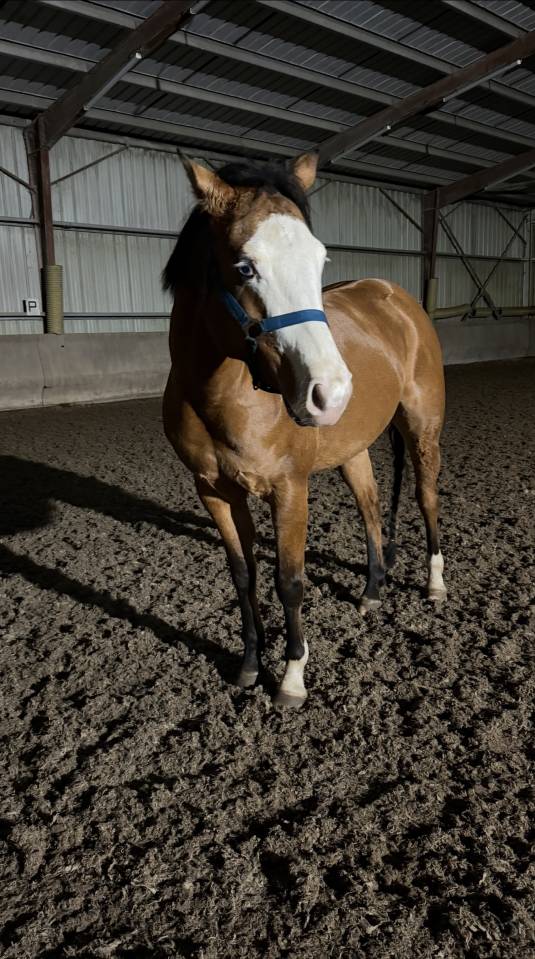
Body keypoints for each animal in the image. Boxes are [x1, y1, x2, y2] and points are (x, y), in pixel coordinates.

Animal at [162, 152, 446, 707]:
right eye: (245, 267)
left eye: (319, 261)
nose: (331, 394)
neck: (221, 396)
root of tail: (396, 297)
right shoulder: (214, 491)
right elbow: (243, 576)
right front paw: (250, 665)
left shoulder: (289, 488)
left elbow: (289, 580)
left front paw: (292, 676)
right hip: (352, 449)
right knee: (370, 509)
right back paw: (372, 591)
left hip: (423, 428)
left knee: (425, 497)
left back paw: (435, 585)